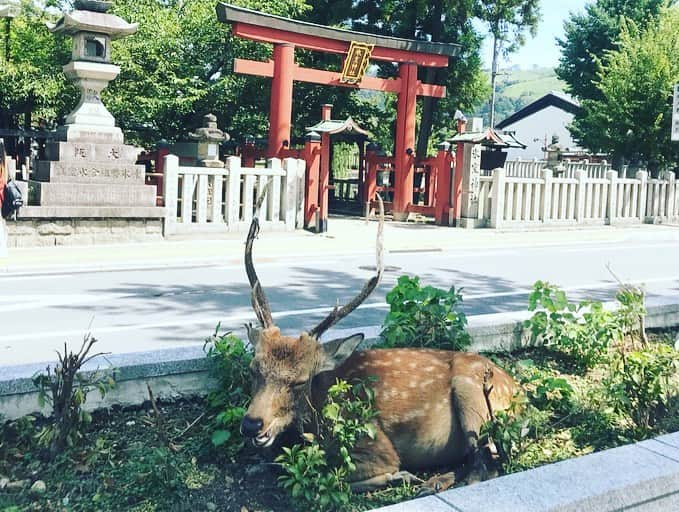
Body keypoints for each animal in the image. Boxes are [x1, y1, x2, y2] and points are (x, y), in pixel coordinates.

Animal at [240, 206, 520, 494]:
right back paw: (433, 482)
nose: (252, 424)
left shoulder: (373, 442)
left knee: (488, 462)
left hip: (473, 396)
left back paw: (427, 481)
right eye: (253, 370)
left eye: (299, 381)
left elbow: (331, 475)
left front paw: (399, 475)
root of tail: (518, 390)